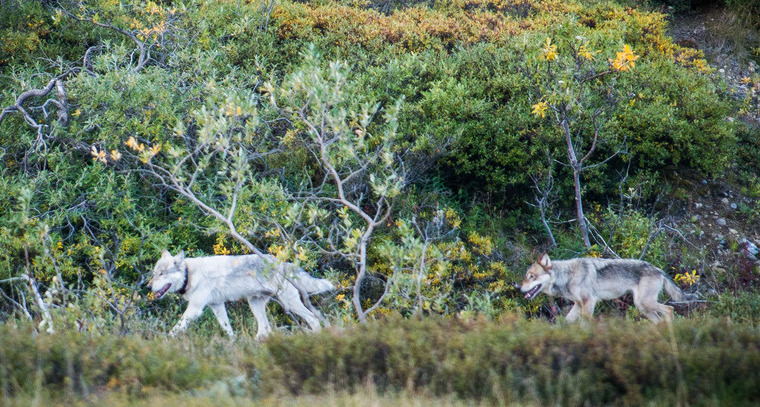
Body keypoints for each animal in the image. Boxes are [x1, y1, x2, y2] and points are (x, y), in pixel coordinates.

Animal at [149, 250, 334, 339]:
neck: (189, 274)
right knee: (265, 328)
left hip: (290, 304)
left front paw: (164, 342)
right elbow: (227, 329)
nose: (148, 286)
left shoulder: (195, 309)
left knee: (314, 319)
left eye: (162, 274)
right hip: (255, 305)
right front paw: (232, 344)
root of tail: (284, 263)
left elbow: (175, 329)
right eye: (154, 273)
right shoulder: (217, 306)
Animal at [521, 253, 694, 323]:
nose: (518, 287)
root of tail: (658, 269)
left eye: (532, 276)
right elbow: (566, 321)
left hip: (645, 303)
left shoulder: (589, 302)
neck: (567, 275)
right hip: (642, 306)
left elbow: (585, 324)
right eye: (526, 276)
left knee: (670, 309)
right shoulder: (578, 304)